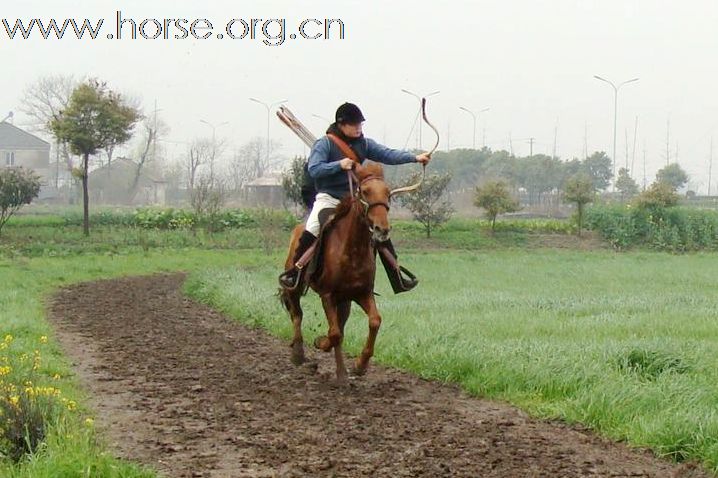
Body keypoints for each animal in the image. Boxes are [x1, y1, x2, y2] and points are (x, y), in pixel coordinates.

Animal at [280, 162, 394, 382]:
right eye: (365, 191)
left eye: (388, 193)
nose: (382, 229)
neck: (352, 250)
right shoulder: (327, 295)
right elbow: (334, 334)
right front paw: (322, 345)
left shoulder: (362, 293)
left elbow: (374, 321)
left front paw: (360, 365)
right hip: (295, 286)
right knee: (297, 314)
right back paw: (298, 353)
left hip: (345, 301)